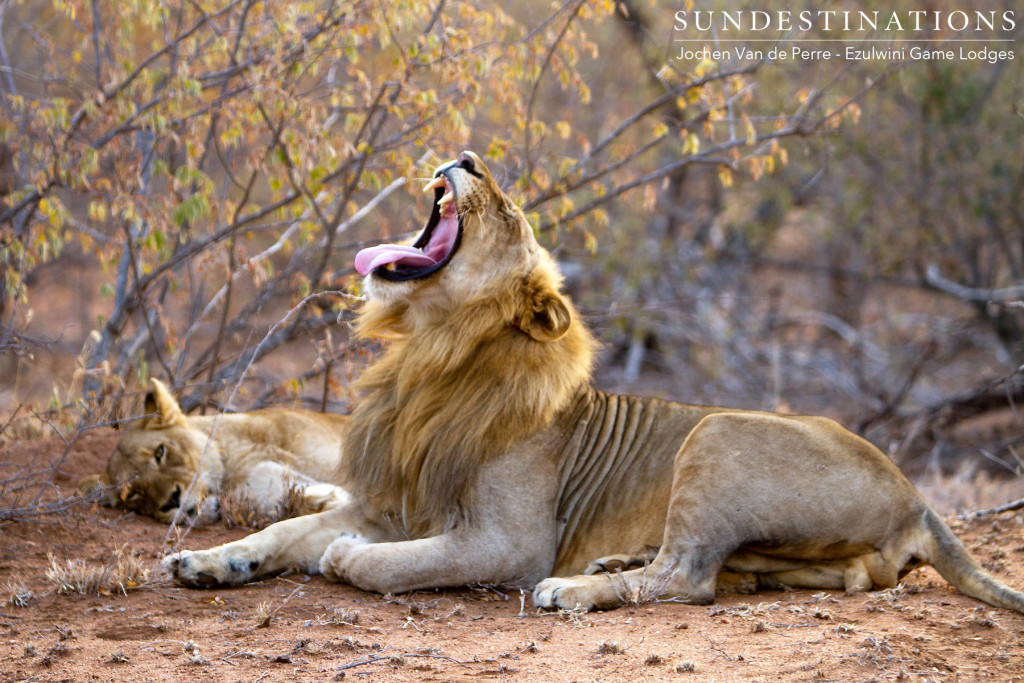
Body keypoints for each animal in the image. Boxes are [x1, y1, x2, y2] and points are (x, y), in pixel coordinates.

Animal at [163, 152, 1024, 610]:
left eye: (507, 209)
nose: (465, 159)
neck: (427, 357)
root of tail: (917, 495)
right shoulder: (392, 499)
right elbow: (281, 533)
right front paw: (210, 562)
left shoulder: (509, 541)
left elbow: (387, 562)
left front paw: (344, 560)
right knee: (779, 571)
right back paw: (612, 566)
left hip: (716, 431)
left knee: (688, 579)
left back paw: (574, 590)